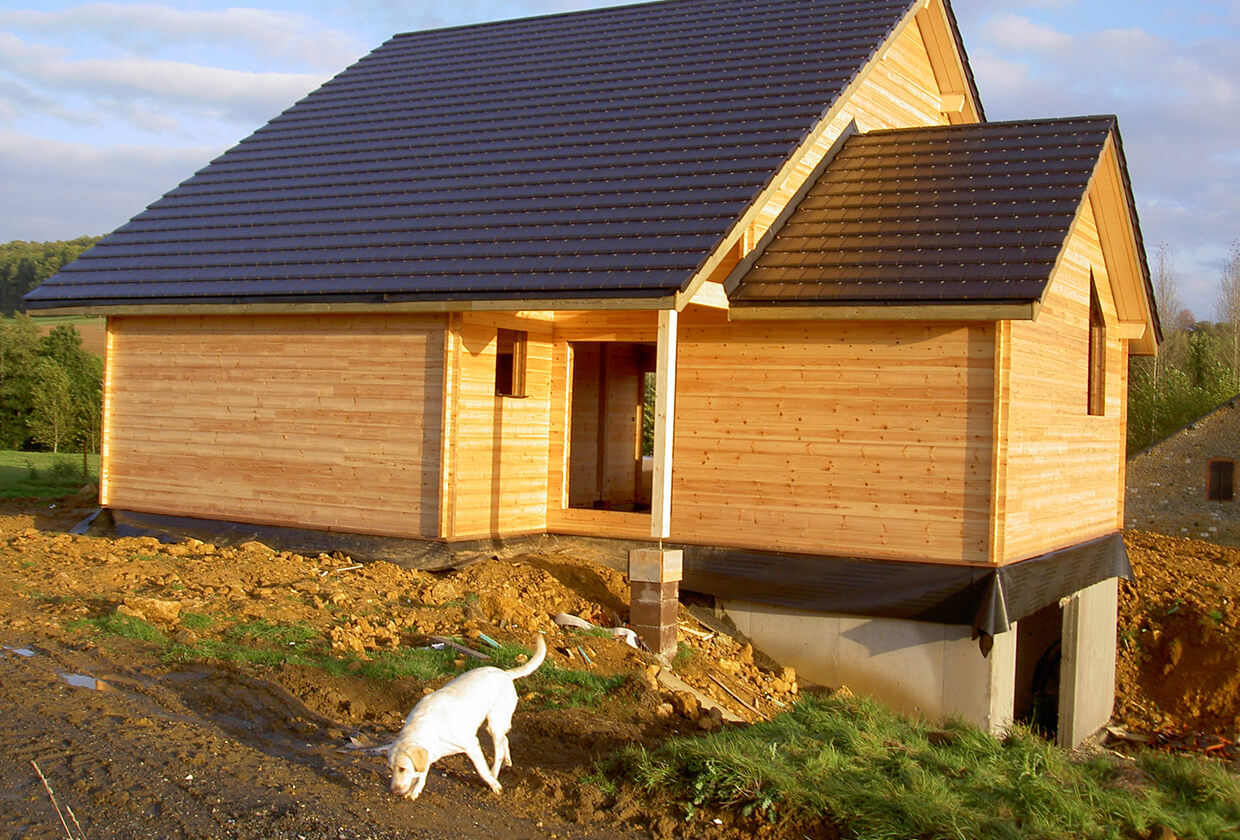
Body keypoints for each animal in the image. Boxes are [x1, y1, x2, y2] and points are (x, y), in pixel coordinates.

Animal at [386, 635, 543, 799]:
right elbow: (421, 774)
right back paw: (507, 763)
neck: (427, 726)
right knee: (504, 740)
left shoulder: (472, 744)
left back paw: (495, 774)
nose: (394, 791)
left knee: (498, 751)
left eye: (402, 768)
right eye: (390, 768)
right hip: (493, 725)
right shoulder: (427, 754)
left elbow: (482, 770)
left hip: (495, 724)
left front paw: (494, 784)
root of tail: (505, 674)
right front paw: (415, 791)